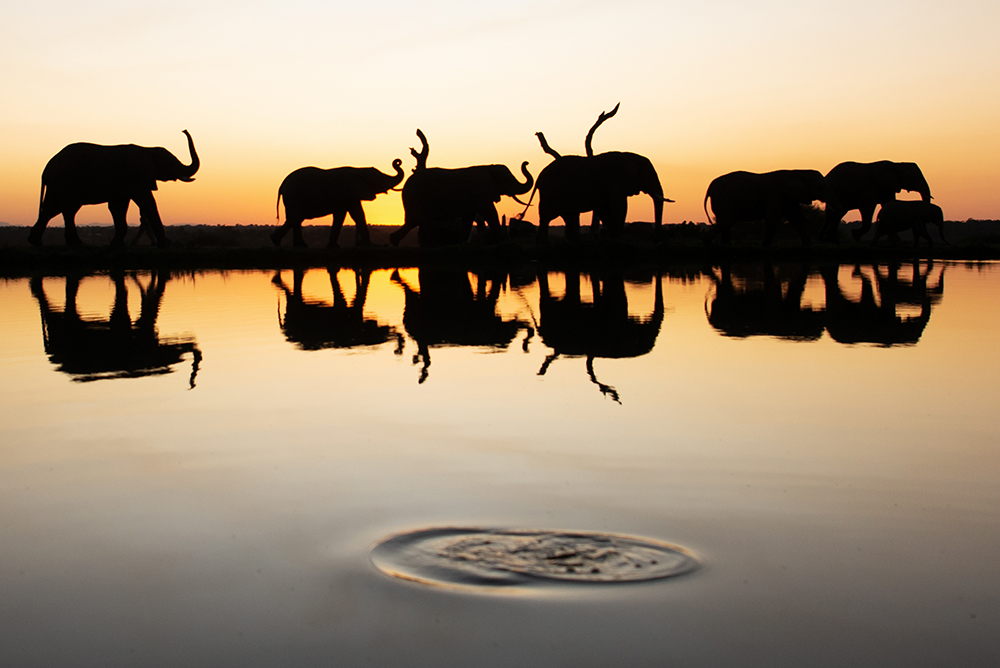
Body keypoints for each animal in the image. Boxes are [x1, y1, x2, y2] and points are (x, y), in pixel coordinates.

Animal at [28, 130, 199, 248]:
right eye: (170, 164)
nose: (183, 130)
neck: (147, 149)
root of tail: (47, 169)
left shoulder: (123, 184)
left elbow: (118, 207)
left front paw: (117, 245)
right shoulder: (135, 178)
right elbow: (147, 202)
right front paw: (166, 244)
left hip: (57, 185)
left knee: (51, 209)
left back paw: (36, 243)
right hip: (65, 182)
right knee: (68, 210)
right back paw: (78, 244)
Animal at [271, 158, 405, 249]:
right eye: (380, 180)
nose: (398, 161)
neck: (359, 169)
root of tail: (281, 186)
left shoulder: (351, 195)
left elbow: (357, 214)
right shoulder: (345, 194)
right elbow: (344, 215)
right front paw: (334, 246)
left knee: (294, 219)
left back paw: (287, 243)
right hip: (294, 197)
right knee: (296, 218)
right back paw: (286, 243)